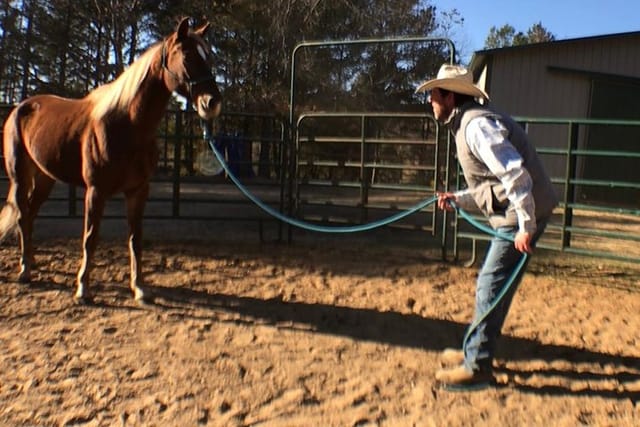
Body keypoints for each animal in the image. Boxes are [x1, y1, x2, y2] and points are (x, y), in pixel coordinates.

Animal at [0, 16, 222, 304]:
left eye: (209, 56)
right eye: (186, 55)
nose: (212, 103)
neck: (127, 124)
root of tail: (20, 107)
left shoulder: (138, 191)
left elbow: (135, 238)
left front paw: (139, 288)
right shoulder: (96, 191)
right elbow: (90, 238)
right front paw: (83, 289)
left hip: (45, 178)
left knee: (29, 215)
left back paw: (31, 261)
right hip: (20, 176)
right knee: (22, 214)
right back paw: (25, 270)